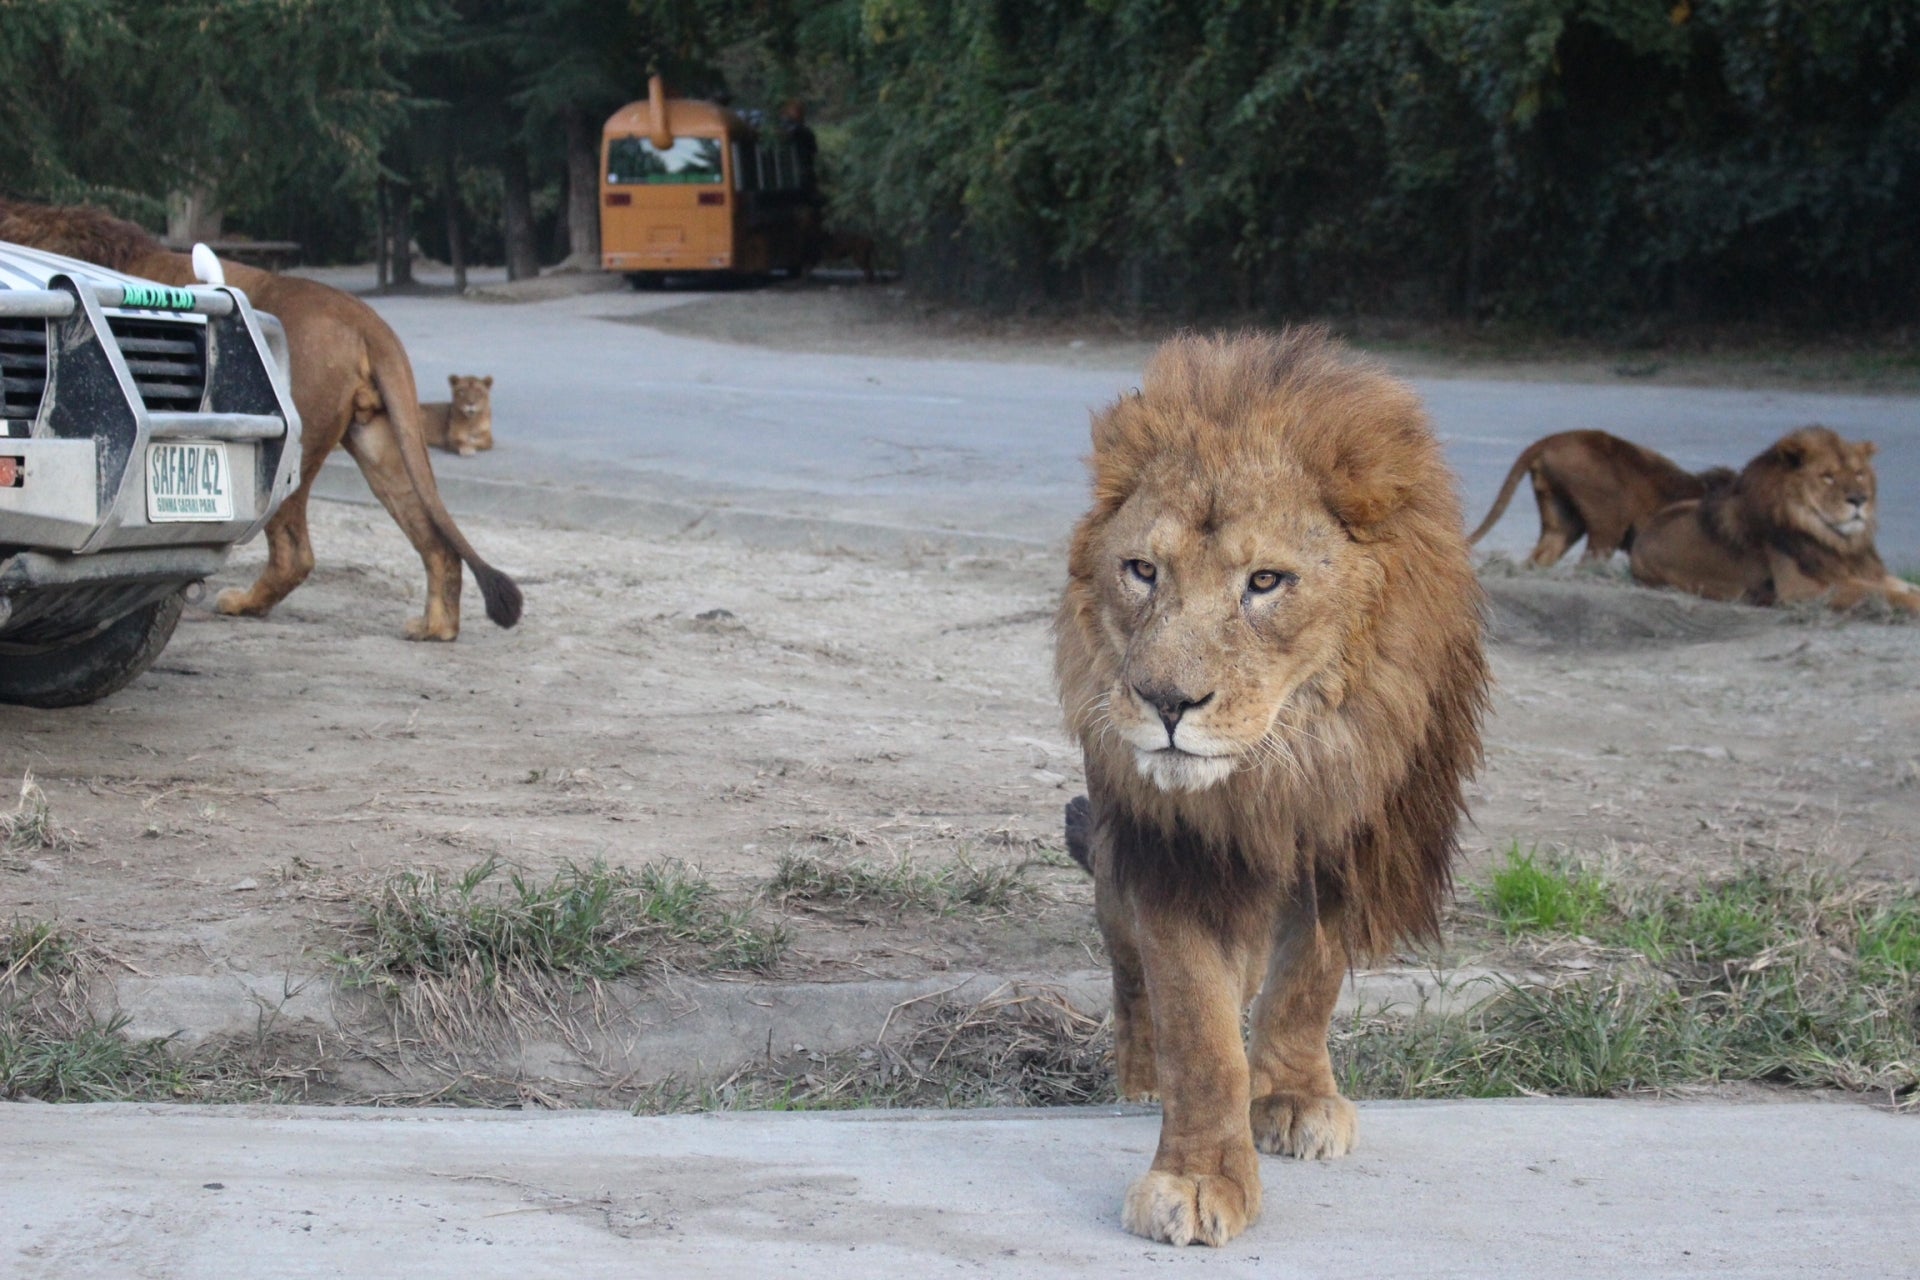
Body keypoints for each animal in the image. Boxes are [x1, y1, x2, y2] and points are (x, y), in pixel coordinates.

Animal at [1059, 333, 1489, 1251]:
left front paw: (1292, 1097)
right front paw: (1196, 1177)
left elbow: (1305, 984)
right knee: (1129, 967)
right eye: (1142, 570)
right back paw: (1139, 1076)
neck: (1282, 768)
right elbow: (1199, 1030)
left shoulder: (1354, 842)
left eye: (1265, 582)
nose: (1166, 702)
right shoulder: (1178, 854)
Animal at [1628, 426, 1912, 614]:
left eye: (1859, 473)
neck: (1836, 540)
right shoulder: (1801, 590)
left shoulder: (1863, 571)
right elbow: (1884, 592)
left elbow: (1901, 586)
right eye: (1827, 477)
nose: (1859, 499)